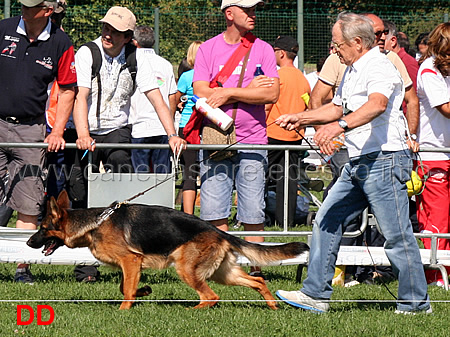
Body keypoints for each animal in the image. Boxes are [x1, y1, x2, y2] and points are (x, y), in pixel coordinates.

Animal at [27, 190, 310, 308]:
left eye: (42, 228)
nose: (29, 243)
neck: (94, 223)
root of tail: (220, 231)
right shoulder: (131, 265)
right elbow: (125, 286)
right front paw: (143, 291)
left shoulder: (130, 261)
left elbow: (125, 290)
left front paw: (124, 310)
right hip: (224, 273)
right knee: (257, 281)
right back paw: (272, 306)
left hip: (186, 269)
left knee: (211, 296)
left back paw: (194, 311)